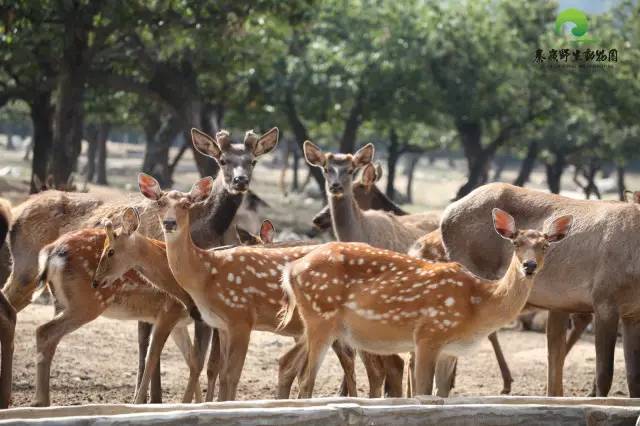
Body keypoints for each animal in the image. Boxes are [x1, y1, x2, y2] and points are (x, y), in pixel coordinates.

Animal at [138, 172, 358, 400]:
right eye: (160, 202)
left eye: (186, 204)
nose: (169, 223)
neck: (207, 273)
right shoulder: (222, 325)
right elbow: (221, 372)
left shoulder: (241, 317)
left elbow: (231, 374)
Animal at [280, 209, 576, 396]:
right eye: (516, 243)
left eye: (545, 246)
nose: (529, 266)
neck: (479, 305)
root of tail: (292, 270)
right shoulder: (428, 335)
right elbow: (422, 393)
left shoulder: (449, 349)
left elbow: (440, 395)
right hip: (321, 317)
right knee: (306, 380)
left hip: (315, 323)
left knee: (292, 367)